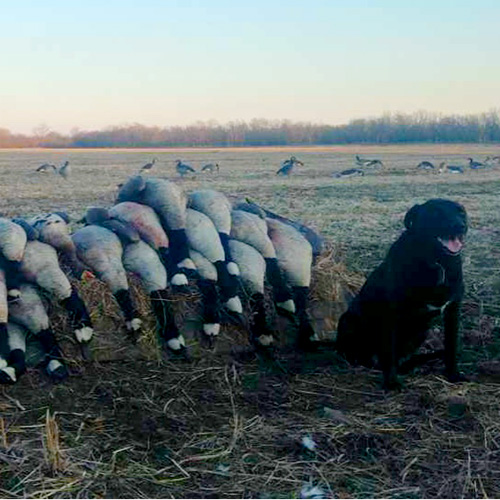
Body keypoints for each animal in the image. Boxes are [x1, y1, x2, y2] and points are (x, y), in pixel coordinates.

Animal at [336, 199, 468, 390]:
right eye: (436, 212)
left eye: (461, 212)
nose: (460, 225)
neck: (438, 263)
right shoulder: (391, 315)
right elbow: (389, 352)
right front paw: (391, 382)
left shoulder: (452, 311)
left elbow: (451, 347)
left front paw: (453, 374)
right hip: (348, 321)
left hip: (422, 331)